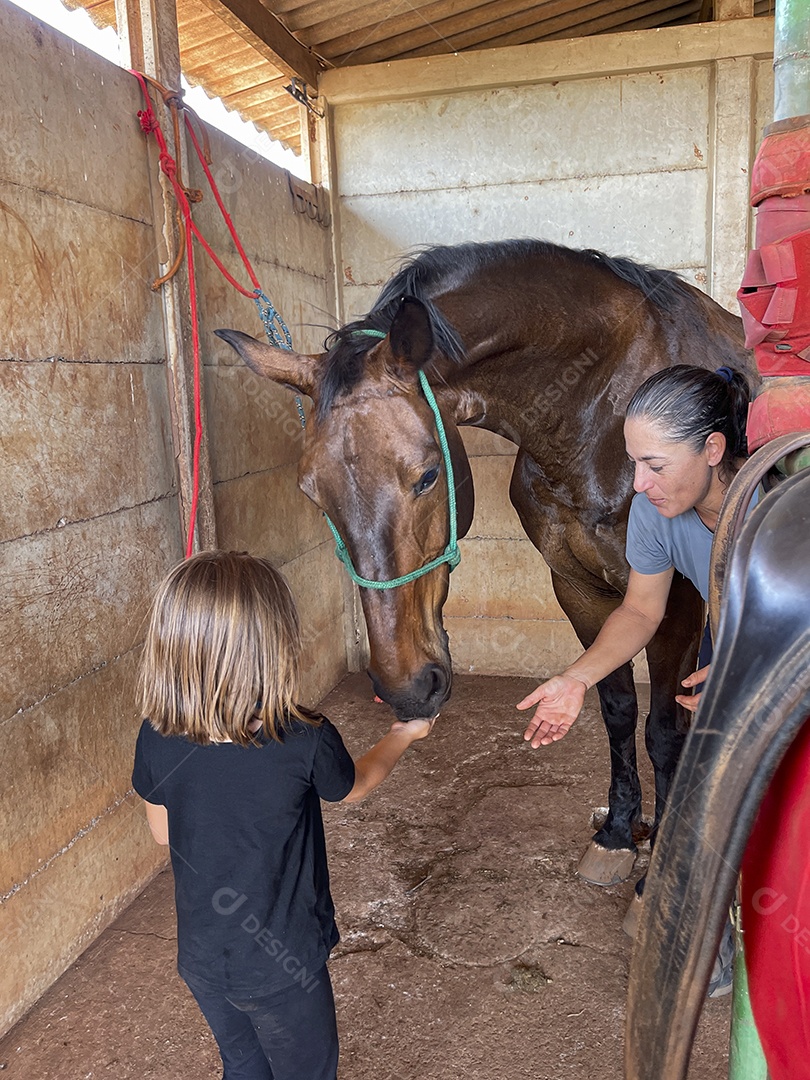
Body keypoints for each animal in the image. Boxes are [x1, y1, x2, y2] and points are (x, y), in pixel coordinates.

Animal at [216, 239, 759, 886]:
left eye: (428, 475)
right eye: (311, 493)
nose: (408, 690)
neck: (605, 412)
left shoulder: (674, 596)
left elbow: (663, 730)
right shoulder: (580, 588)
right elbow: (618, 710)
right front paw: (618, 833)